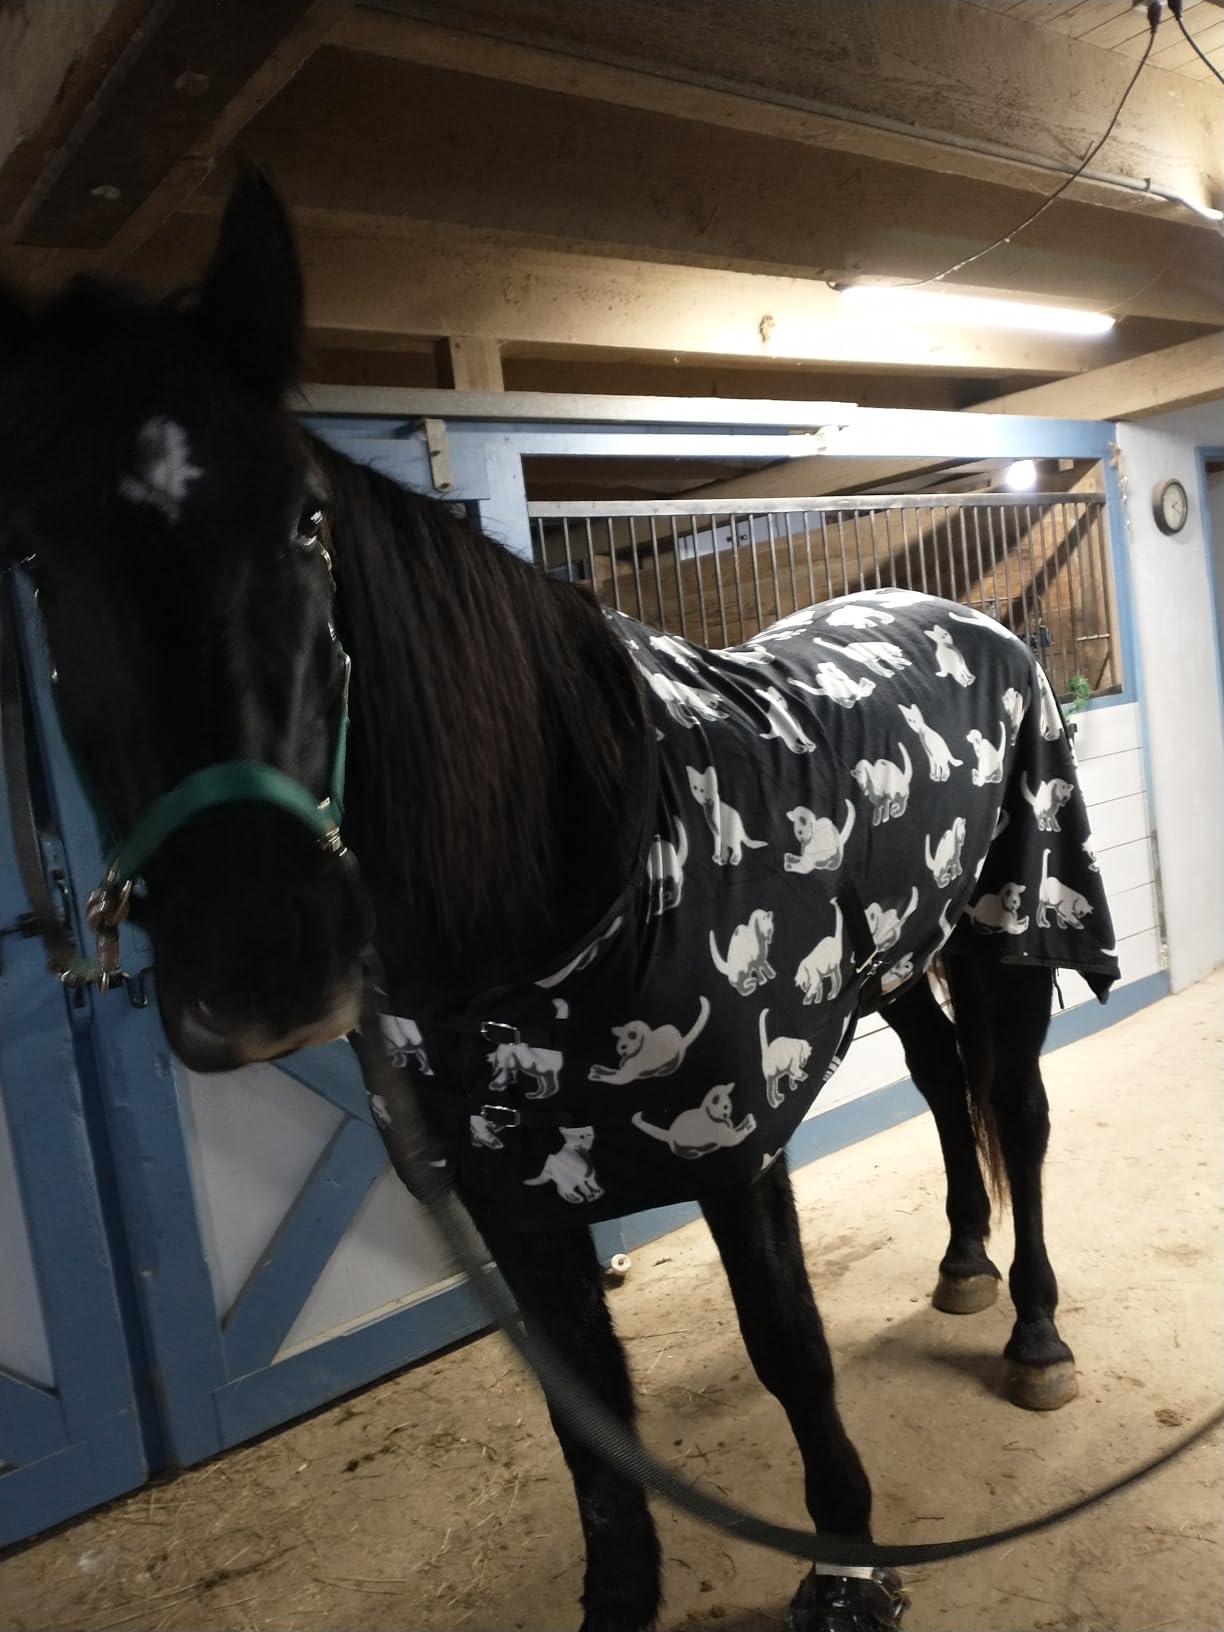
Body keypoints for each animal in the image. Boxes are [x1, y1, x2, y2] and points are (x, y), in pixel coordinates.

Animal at [0, 166, 1119, 1632]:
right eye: (35, 562)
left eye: (306, 519)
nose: (259, 963)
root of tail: (972, 621)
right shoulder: (506, 1197)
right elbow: (588, 1428)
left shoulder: (732, 1148)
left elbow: (790, 1350)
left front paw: (848, 1570)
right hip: (887, 966)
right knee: (944, 1088)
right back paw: (962, 1266)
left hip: (1005, 937)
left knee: (1020, 1116)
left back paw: (1035, 1329)